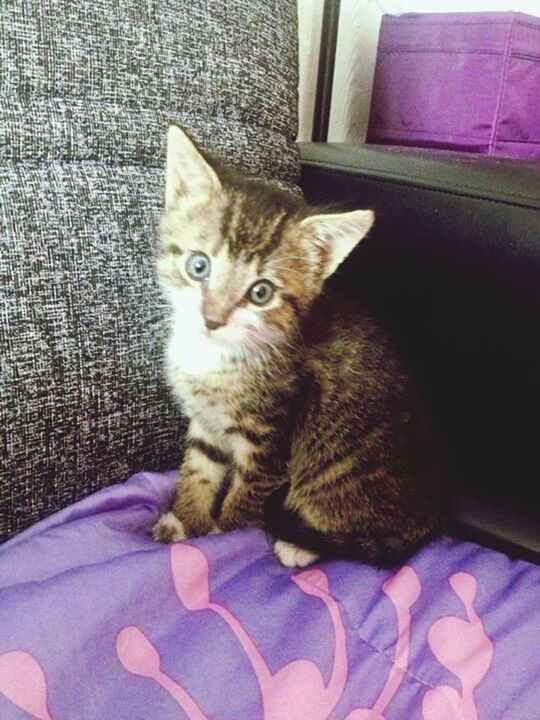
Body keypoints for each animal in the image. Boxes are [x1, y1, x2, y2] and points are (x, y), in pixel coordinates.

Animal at [151, 125, 442, 568]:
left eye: (261, 293)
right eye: (198, 266)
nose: (212, 319)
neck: (217, 357)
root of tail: (427, 518)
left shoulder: (270, 444)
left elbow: (245, 500)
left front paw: (224, 536)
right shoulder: (205, 424)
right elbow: (200, 469)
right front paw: (185, 520)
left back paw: (298, 546)